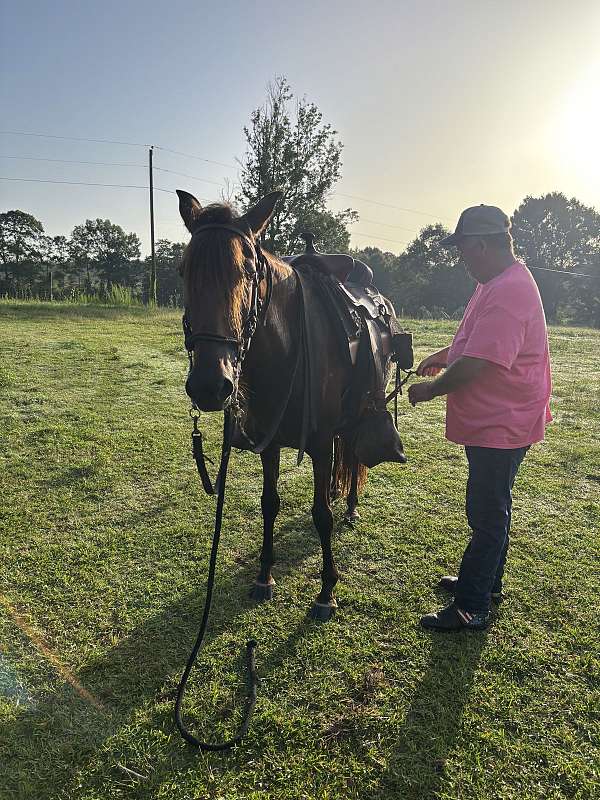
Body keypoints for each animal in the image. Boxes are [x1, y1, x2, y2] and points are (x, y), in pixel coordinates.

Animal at [176, 189, 405, 620]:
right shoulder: (270, 443)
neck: (285, 352)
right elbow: (269, 503)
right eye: (184, 271)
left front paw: (327, 591)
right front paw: (264, 576)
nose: (211, 385)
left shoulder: (317, 442)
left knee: (353, 455)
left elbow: (321, 516)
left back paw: (350, 505)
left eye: (249, 272)